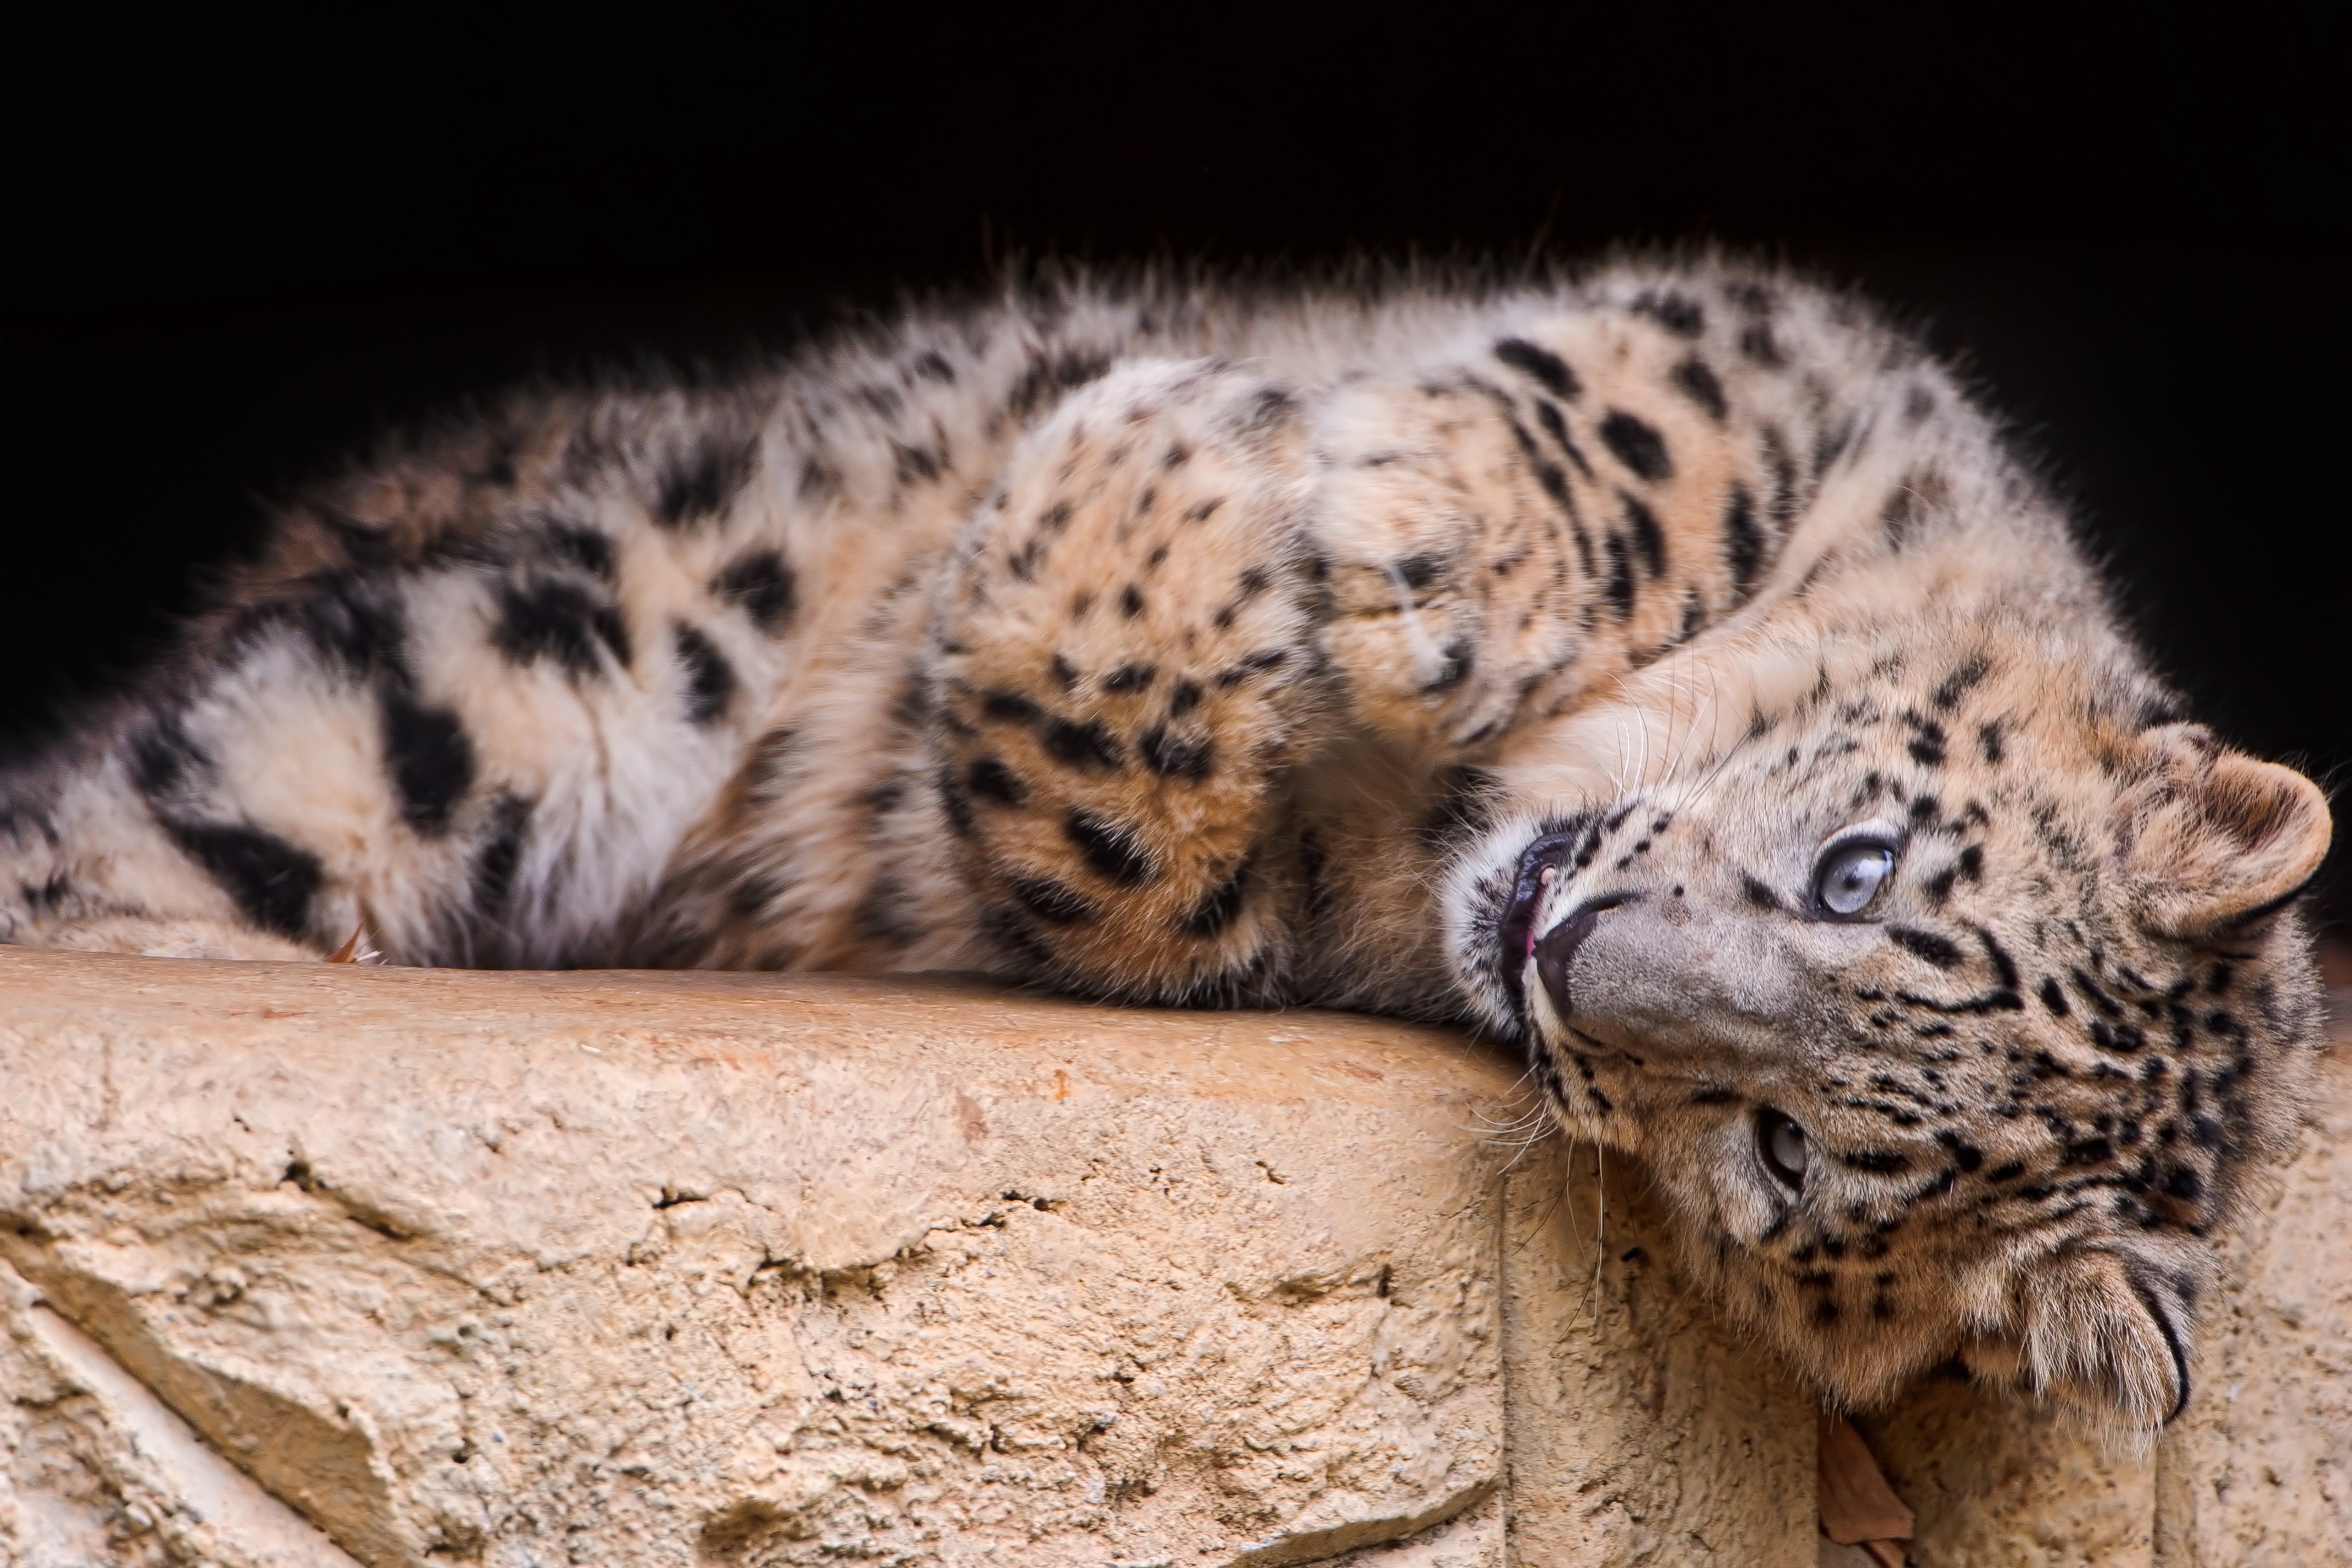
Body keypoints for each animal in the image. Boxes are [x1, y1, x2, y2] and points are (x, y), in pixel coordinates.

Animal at [0, 258, 2330, 1435]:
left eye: (1781, 1159)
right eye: (1851, 869)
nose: (1575, 948)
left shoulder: (1223, 923)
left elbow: (1116, 843)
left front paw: (1154, 477)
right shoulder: (1802, 363)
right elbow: (1643, 421)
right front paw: (1353, 514)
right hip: (562, 639)